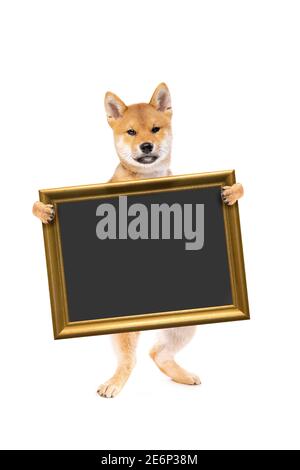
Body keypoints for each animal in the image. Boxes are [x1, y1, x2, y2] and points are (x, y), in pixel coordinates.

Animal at [32, 83, 244, 396]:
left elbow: (238, 189)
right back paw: (115, 383)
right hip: (128, 328)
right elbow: (36, 209)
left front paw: (232, 190)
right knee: (132, 359)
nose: (146, 146)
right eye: (131, 132)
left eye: (155, 129)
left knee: (156, 352)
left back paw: (181, 376)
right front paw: (43, 209)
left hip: (186, 323)